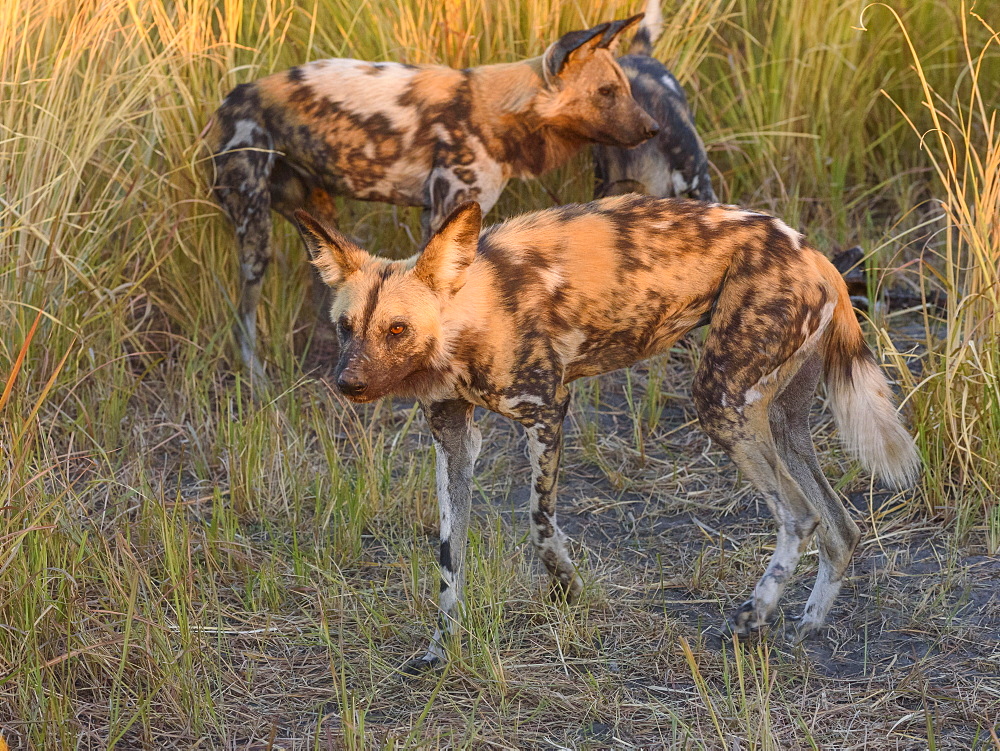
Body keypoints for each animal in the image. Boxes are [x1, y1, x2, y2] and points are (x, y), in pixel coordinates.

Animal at [204, 16, 660, 382]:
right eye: (605, 92)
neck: (498, 114)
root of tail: (233, 97)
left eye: (624, 90)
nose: (654, 129)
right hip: (254, 231)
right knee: (246, 310)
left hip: (316, 213)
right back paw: (257, 376)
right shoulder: (445, 210)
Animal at [292, 195, 920, 676]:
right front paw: (441, 647)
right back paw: (807, 623)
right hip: (783, 422)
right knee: (841, 525)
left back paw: (753, 616)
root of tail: (812, 252)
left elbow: (539, 522)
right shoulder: (453, 439)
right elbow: (450, 557)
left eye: (397, 329)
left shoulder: (548, 412)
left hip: (720, 401)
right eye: (345, 327)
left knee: (800, 515)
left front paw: (566, 587)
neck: (470, 313)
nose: (347, 383)